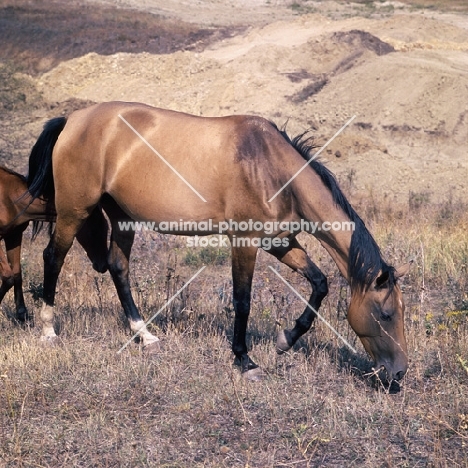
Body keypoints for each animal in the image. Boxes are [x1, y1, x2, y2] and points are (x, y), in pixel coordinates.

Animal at [0, 165, 109, 322]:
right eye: (96, 229)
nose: (103, 264)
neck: (9, 197)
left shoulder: (13, 236)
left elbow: (16, 274)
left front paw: (22, 314)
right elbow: (8, 276)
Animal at [28, 100, 410, 382]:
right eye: (386, 314)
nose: (399, 373)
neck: (270, 168)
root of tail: (72, 120)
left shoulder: (280, 242)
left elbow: (319, 284)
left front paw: (286, 340)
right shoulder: (244, 242)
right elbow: (242, 300)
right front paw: (245, 360)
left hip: (121, 216)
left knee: (118, 268)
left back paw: (144, 334)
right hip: (74, 210)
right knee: (53, 258)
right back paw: (48, 331)